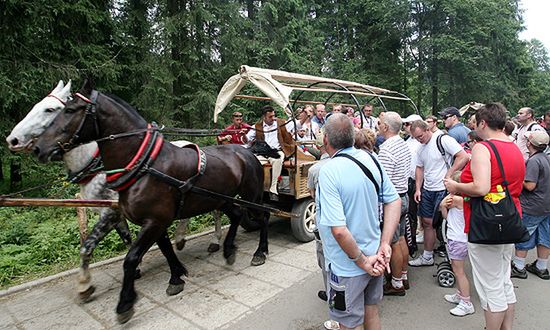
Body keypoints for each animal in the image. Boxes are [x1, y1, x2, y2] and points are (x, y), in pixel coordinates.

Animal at [5, 82, 222, 302]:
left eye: (49, 109)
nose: (12, 140)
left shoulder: (111, 212)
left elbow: (88, 246)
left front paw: (85, 285)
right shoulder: (120, 212)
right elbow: (127, 238)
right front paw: (138, 267)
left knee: (215, 211)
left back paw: (212, 240)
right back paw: (181, 239)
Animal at [32, 81, 270, 324]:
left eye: (69, 110)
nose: (38, 148)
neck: (143, 165)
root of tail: (247, 151)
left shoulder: (154, 221)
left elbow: (131, 258)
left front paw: (125, 303)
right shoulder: (155, 220)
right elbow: (164, 248)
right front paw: (176, 277)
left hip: (251, 196)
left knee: (263, 215)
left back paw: (259, 252)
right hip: (221, 200)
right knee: (237, 215)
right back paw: (229, 250)